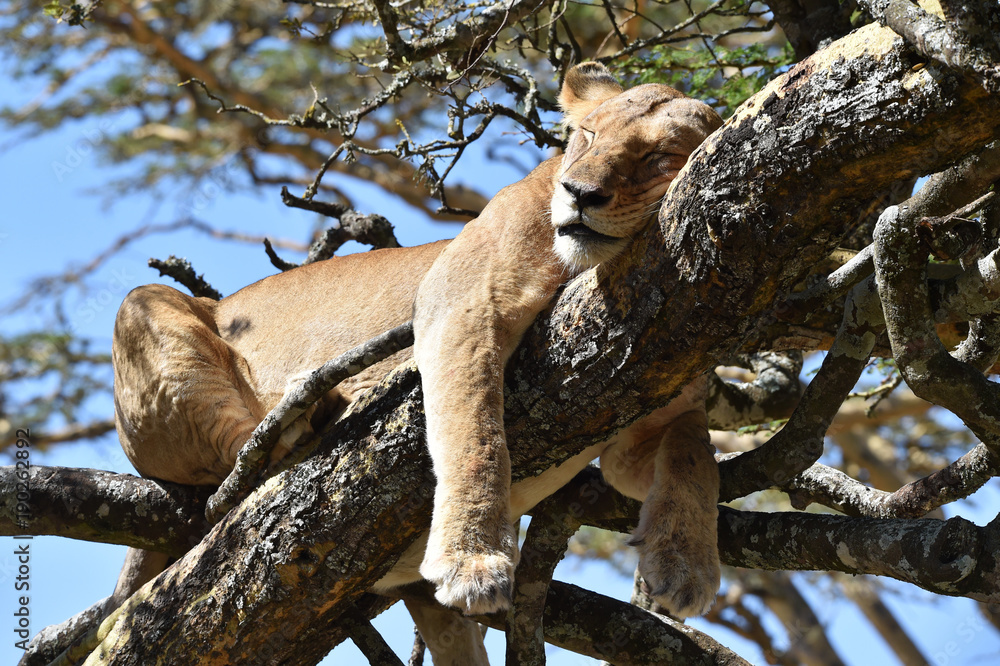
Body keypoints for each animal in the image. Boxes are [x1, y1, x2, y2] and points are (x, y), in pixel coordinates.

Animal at [104, 62, 722, 663]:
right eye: (588, 136)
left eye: (660, 157)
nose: (578, 193)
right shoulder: (461, 308)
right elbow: (476, 433)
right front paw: (472, 560)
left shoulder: (648, 421)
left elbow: (695, 451)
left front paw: (685, 564)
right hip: (144, 308)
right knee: (236, 465)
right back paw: (311, 415)